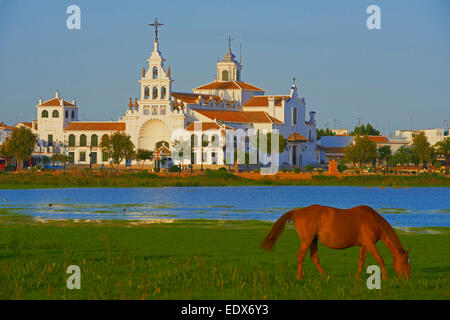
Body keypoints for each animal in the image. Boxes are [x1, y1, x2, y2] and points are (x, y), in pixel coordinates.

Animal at [260, 206, 412, 278]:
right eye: (405, 262)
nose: (407, 278)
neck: (373, 220)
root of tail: (298, 212)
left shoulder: (364, 245)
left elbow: (361, 261)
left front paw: (357, 277)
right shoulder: (370, 244)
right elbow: (380, 259)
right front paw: (385, 277)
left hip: (313, 240)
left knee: (314, 257)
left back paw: (325, 275)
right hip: (307, 240)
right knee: (301, 256)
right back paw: (300, 277)